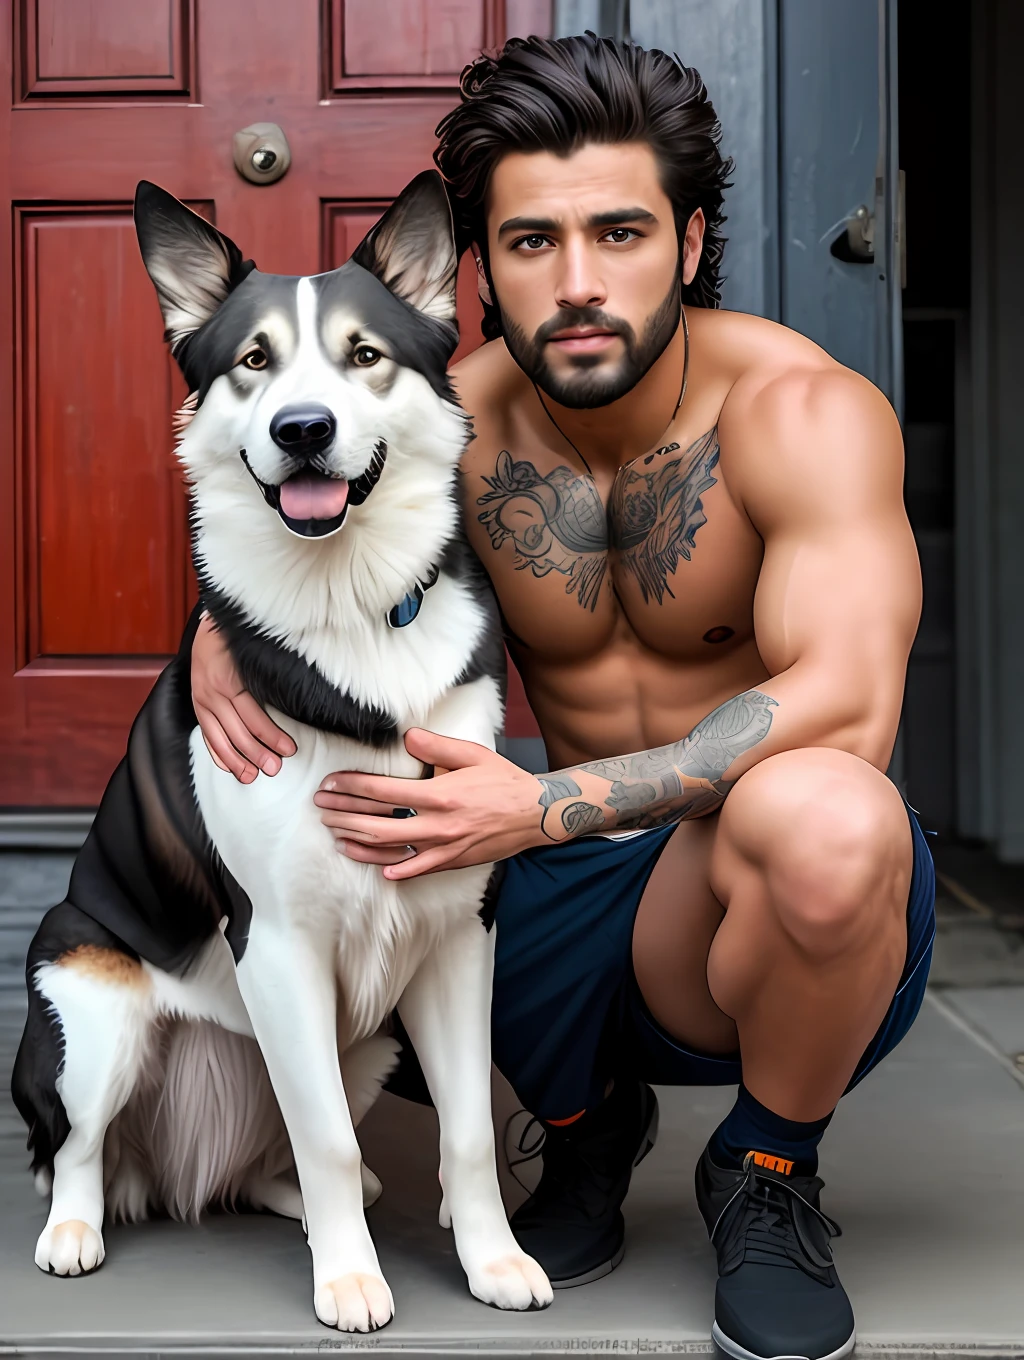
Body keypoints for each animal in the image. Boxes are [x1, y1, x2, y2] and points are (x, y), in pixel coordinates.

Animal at [11, 175, 552, 1332]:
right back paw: (76, 1230)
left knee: (275, 1153)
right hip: (87, 1004)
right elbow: (330, 1144)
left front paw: (491, 1259)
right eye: (253, 361)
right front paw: (351, 1280)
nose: (304, 429)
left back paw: (288, 1200)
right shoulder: (281, 941)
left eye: (364, 355)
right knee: (80, 1150)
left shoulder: (459, 932)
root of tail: (178, 1166)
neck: (350, 608)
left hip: (366, 1040)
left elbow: (463, 1132)